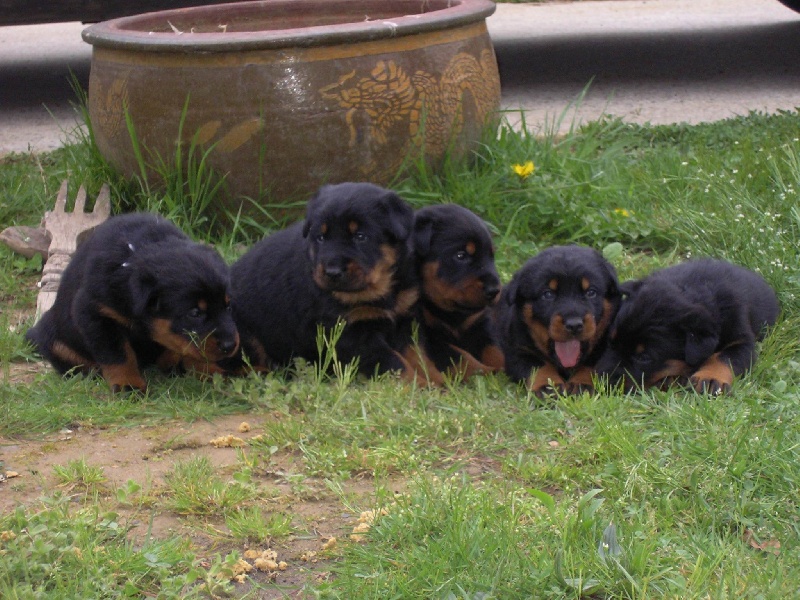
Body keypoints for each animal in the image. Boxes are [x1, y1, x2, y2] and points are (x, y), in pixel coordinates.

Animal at [26, 213, 242, 392]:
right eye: (195, 313)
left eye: (228, 306)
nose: (230, 345)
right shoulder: (96, 313)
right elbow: (119, 354)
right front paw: (128, 385)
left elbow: (183, 347)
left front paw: (206, 368)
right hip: (55, 341)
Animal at [225, 180, 432, 382]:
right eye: (321, 238)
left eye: (360, 236)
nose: (332, 272)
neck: (379, 289)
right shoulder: (349, 333)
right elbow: (395, 364)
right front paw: (420, 386)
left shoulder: (406, 319)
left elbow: (420, 356)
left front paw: (435, 381)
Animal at [416, 204, 504, 378]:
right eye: (460, 255)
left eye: (491, 256)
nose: (494, 290)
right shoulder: (431, 337)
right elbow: (460, 356)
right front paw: (486, 372)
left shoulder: (480, 324)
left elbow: (496, 349)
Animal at [496, 246, 620, 396]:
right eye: (548, 294)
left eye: (591, 292)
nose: (574, 325)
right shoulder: (518, 349)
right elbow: (539, 367)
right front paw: (547, 387)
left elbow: (592, 365)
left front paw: (582, 384)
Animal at [596, 258, 780, 394]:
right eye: (611, 342)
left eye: (644, 358)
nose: (600, 379)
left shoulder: (742, 339)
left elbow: (726, 356)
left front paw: (711, 377)